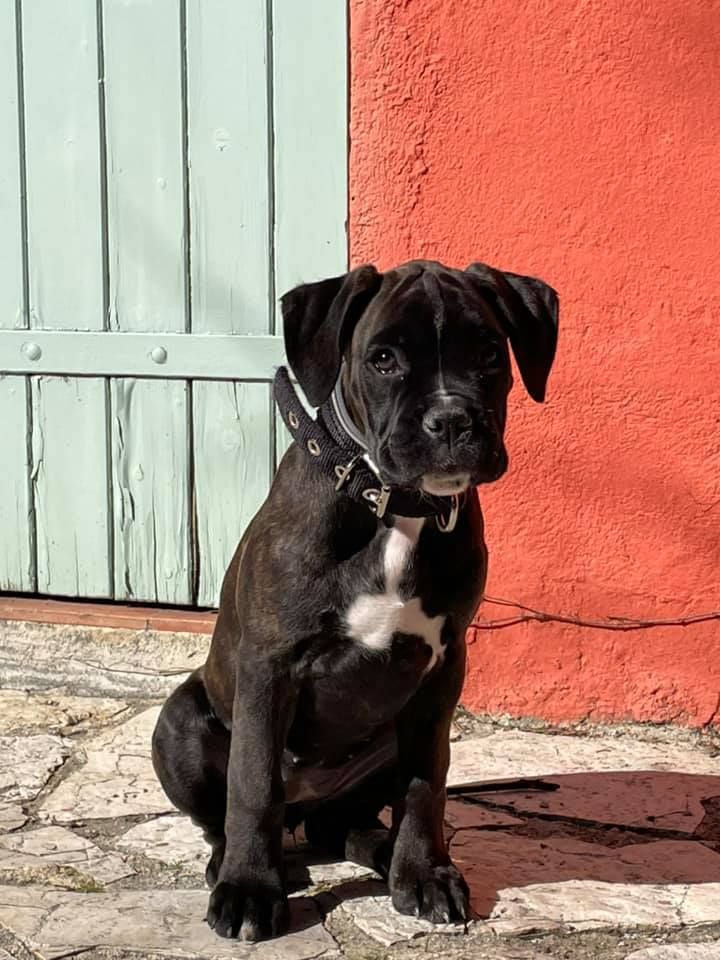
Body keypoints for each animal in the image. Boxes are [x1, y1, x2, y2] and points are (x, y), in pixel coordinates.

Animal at [152, 259, 558, 942]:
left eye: (487, 354)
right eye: (384, 359)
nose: (451, 420)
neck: (395, 507)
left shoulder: (440, 676)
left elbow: (427, 785)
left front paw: (424, 874)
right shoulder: (270, 667)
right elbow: (252, 783)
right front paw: (249, 889)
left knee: (340, 824)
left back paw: (383, 852)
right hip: (180, 720)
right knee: (229, 815)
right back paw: (234, 866)